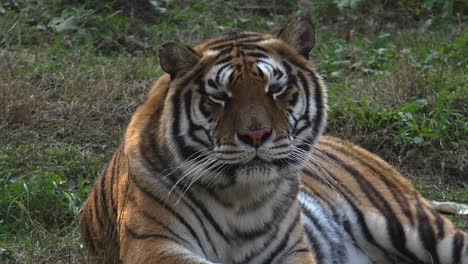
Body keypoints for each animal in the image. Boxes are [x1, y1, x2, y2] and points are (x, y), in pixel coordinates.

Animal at [78, 17, 466, 264]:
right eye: (219, 96)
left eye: (276, 89)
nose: (255, 135)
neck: (239, 201)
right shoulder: (154, 245)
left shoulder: (293, 250)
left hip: (412, 224)